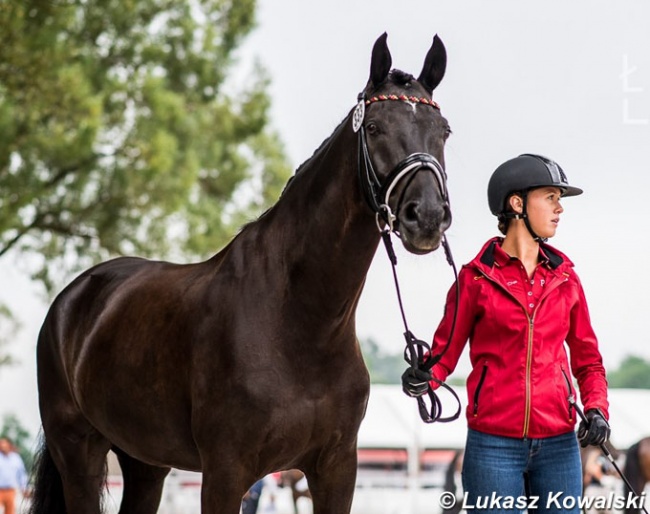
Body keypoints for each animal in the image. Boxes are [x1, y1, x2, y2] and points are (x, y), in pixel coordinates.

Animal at [27, 33, 448, 512]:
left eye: (443, 131)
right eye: (375, 127)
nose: (427, 216)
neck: (299, 322)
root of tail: (73, 297)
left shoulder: (337, 468)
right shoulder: (226, 472)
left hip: (145, 462)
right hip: (78, 450)